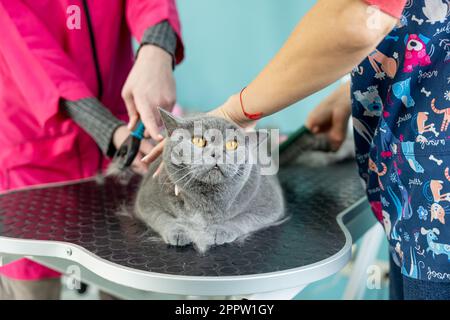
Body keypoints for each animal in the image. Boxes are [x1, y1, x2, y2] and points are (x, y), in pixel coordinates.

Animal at [134, 110, 284, 252]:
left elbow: (243, 219)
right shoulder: (146, 200)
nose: (216, 154)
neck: (205, 200)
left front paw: (219, 231)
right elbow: (162, 218)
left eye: (232, 144)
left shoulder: (270, 204)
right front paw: (178, 232)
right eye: (198, 141)